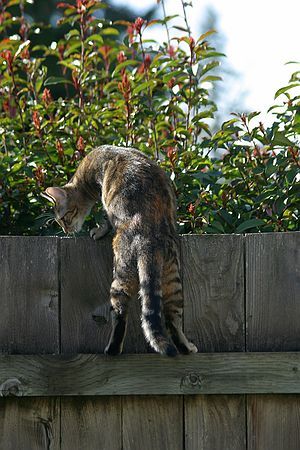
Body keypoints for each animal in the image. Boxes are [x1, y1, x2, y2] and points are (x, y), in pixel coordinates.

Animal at [42, 146, 197, 356]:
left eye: (64, 218)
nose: (66, 231)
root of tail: (148, 239)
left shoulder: (104, 198)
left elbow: (106, 220)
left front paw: (97, 231)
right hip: (173, 279)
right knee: (173, 319)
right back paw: (186, 348)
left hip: (121, 277)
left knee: (120, 315)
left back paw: (112, 349)